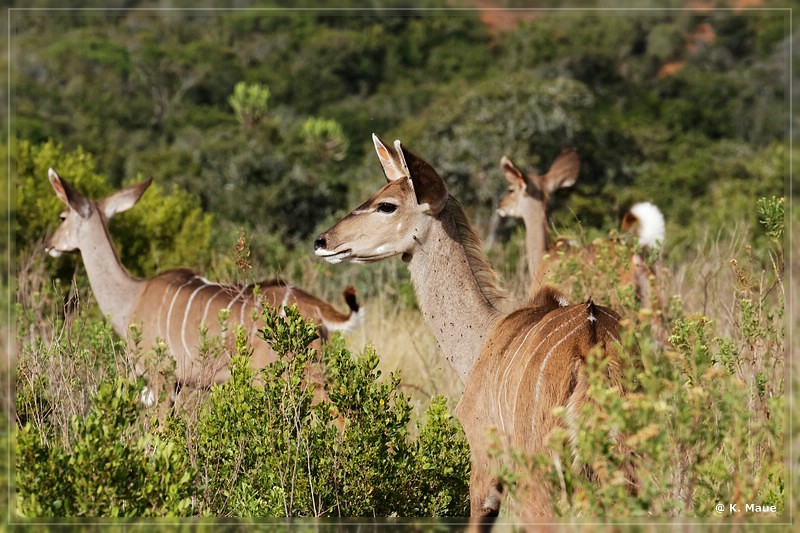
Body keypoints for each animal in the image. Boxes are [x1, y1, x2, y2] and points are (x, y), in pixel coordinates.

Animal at [45, 168, 364, 406]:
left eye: (62, 216)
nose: (50, 245)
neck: (131, 296)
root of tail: (317, 309)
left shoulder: (161, 378)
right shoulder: (176, 385)